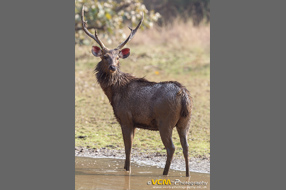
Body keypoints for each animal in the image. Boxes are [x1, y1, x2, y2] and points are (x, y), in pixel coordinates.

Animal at [81, 5, 192, 176]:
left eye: (117, 57)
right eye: (105, 56)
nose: (113, 67)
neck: (114, 93)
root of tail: (184, 94)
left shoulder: (125, 118)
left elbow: (128, 148)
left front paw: (128, 170)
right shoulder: (133, 123)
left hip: (165, 121)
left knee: (171, 148)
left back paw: (165, 173)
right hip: (185, 121)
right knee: (186, 147)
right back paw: (187, 175)